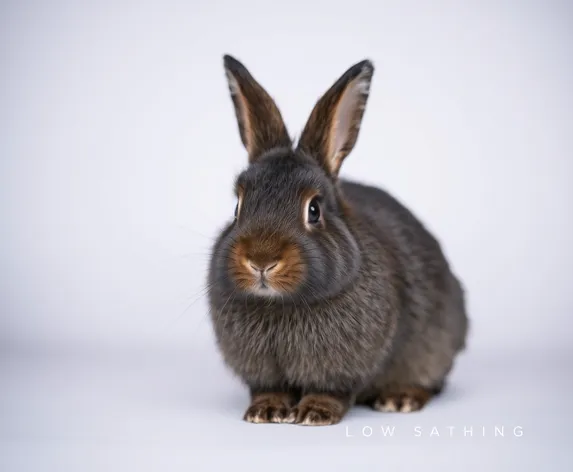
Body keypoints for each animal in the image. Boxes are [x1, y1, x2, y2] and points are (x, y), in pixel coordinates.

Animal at [208, 53, 466, 426]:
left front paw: (314, 413)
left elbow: (330, 392)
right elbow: (269, 389)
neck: (282, 304)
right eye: (237, 206)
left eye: (314, 210)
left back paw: (400, 399)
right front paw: (265, 411)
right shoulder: (264, 372)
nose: (261, 260)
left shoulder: (341, 370)